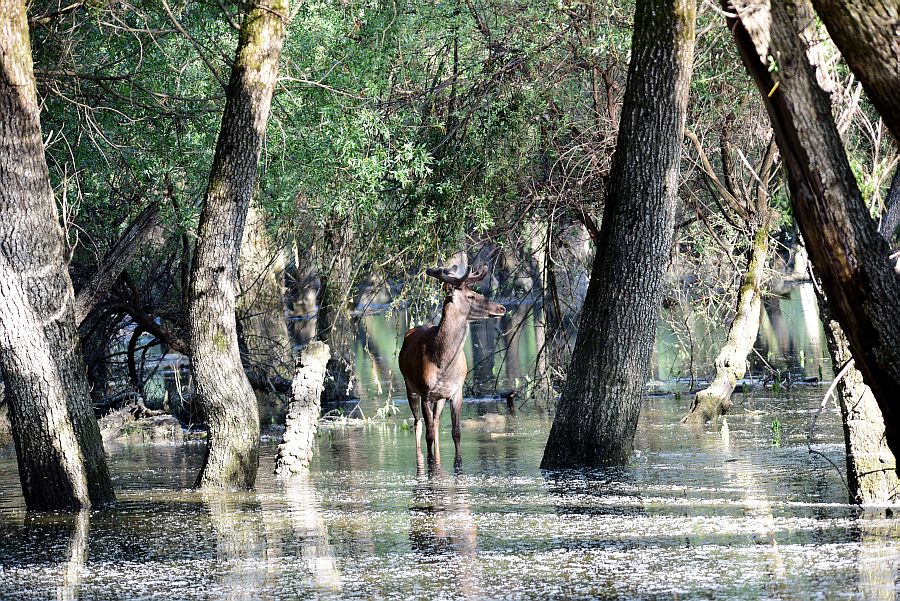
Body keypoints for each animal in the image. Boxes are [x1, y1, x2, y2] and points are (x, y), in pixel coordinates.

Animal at [400, 264, 506, 468]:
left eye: (476, 292)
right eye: (471, 296)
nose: (502, 307)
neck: (443, 365)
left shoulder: (456, 391)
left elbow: (456, 432)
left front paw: (458, 463)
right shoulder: (425, 391)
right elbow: (428, 434)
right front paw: (431, 463)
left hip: (440, 397)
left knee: (436, 422)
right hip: (410, 387)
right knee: (418, 424)